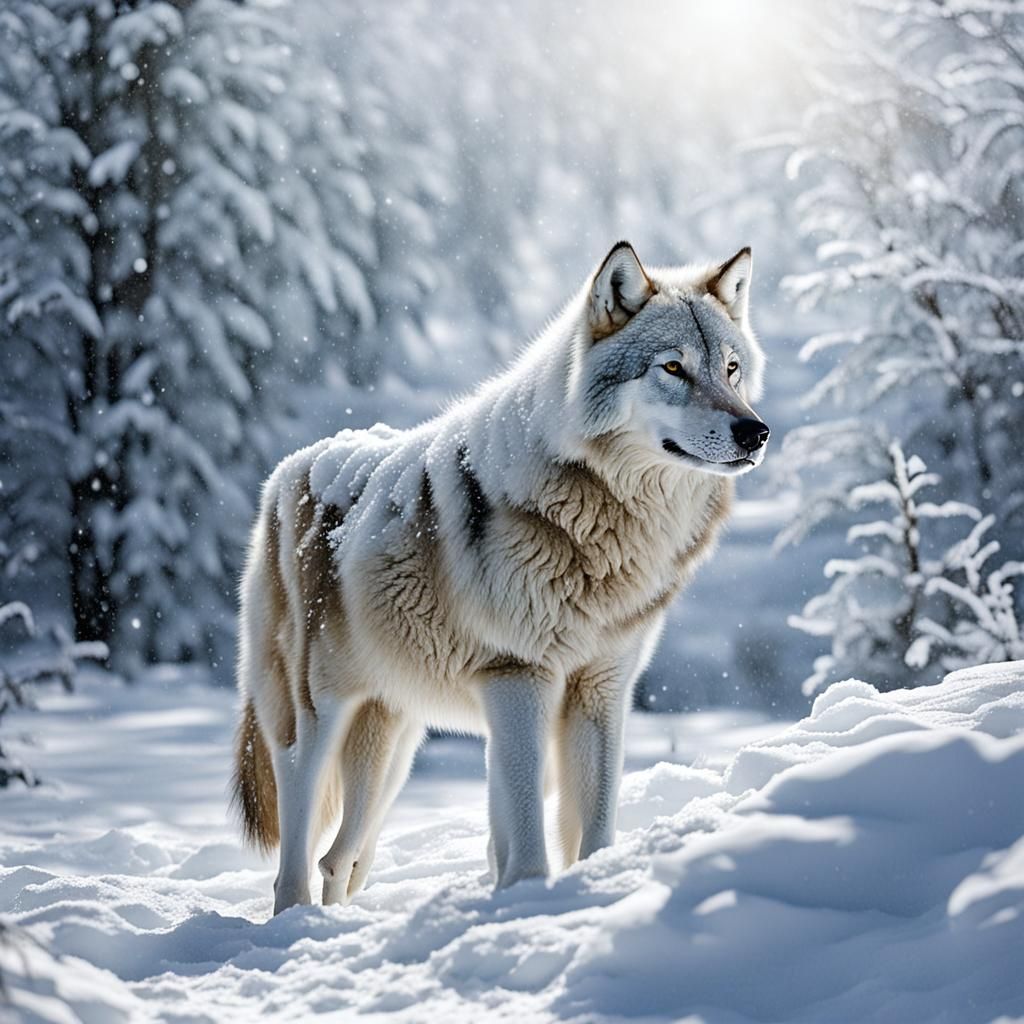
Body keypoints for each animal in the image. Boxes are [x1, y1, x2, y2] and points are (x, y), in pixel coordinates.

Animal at [232, 241, 769, 913]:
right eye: (672, 368)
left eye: (731, 369)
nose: (756, 431)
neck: (607, 533)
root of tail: (288, 470)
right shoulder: (517, 678)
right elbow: (528, 830)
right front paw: (531, 900)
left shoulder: (602, 690)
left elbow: (592, 822)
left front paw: (593, 886)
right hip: (314, 717)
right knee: (296, 851)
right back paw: (295, 921)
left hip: (395, 743)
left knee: (341, 858)